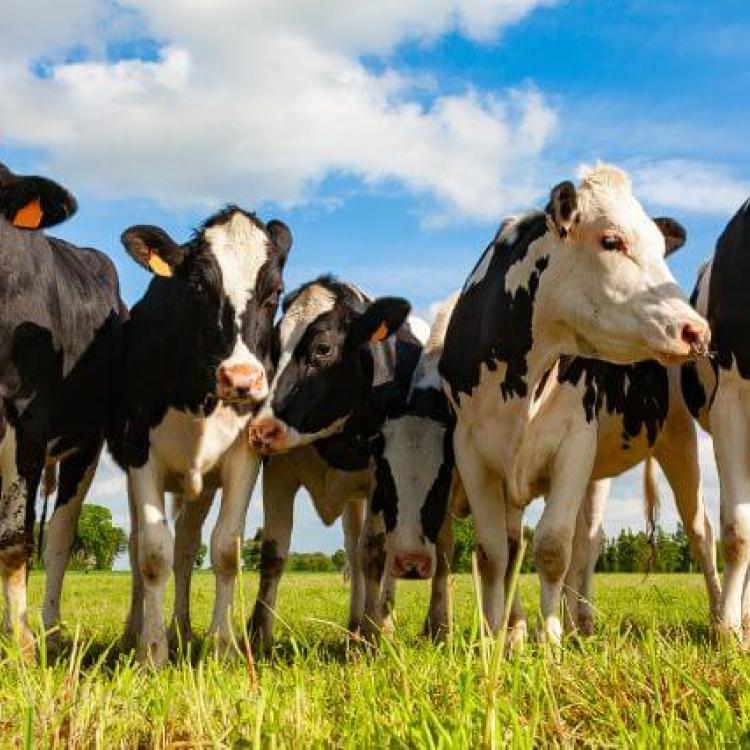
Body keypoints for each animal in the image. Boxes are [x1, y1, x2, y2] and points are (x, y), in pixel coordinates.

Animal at [0, 161, 126, 655]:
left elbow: (15, 540)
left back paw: (49, 631)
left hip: (84, 446)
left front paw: (22, 646)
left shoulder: (27, 423)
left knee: (57, 536)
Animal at [108, 207, 292, 665]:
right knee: (139, 546)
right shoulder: (141, 452)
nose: (242, 379)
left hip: (201, 485)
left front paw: (222, 647)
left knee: (188, 547)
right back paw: (135, 633)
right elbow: (153, 553)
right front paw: (152, 652)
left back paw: (183, 630)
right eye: (197, 287)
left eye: (275, 291)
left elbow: (225, 549)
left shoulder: (245, 455)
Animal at [438, 164, 710, 646]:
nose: (695, 330)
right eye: (611, 240)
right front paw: (496, 639)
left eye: (661, 248)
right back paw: (576, 622)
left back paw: (727, 624)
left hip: (677, 439)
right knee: (586, 542)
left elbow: (552, 547)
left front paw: (549, 640)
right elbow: (495, 553)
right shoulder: (471, 453)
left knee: (700, 533)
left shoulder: (574, 444)